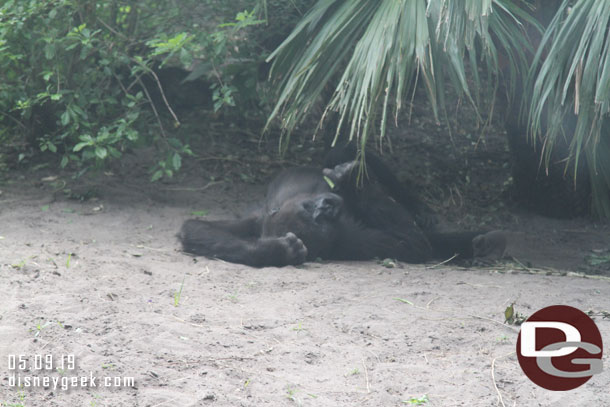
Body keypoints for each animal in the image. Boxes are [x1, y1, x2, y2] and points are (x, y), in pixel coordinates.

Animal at [178, 147, 486, 268]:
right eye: (319, 220)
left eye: (314, 208)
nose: (328, 204)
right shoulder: (351, 241)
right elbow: (414, 244)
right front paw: (278, 251)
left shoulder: (257, 218)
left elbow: (193, 228)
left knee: (354, 152)